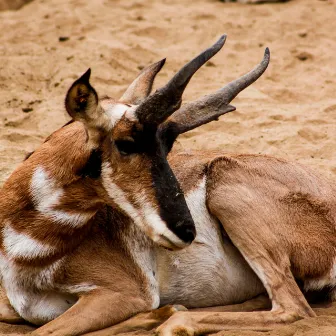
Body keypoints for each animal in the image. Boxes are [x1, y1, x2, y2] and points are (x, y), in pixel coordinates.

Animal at [0, 34, 334, 336]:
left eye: (167, 145)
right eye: (126, 144)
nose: (186, 230)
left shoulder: (124, 293)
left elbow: (44, 332)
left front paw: (161, 315)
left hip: (225, 187)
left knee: (293, 308)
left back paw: (176, 321)